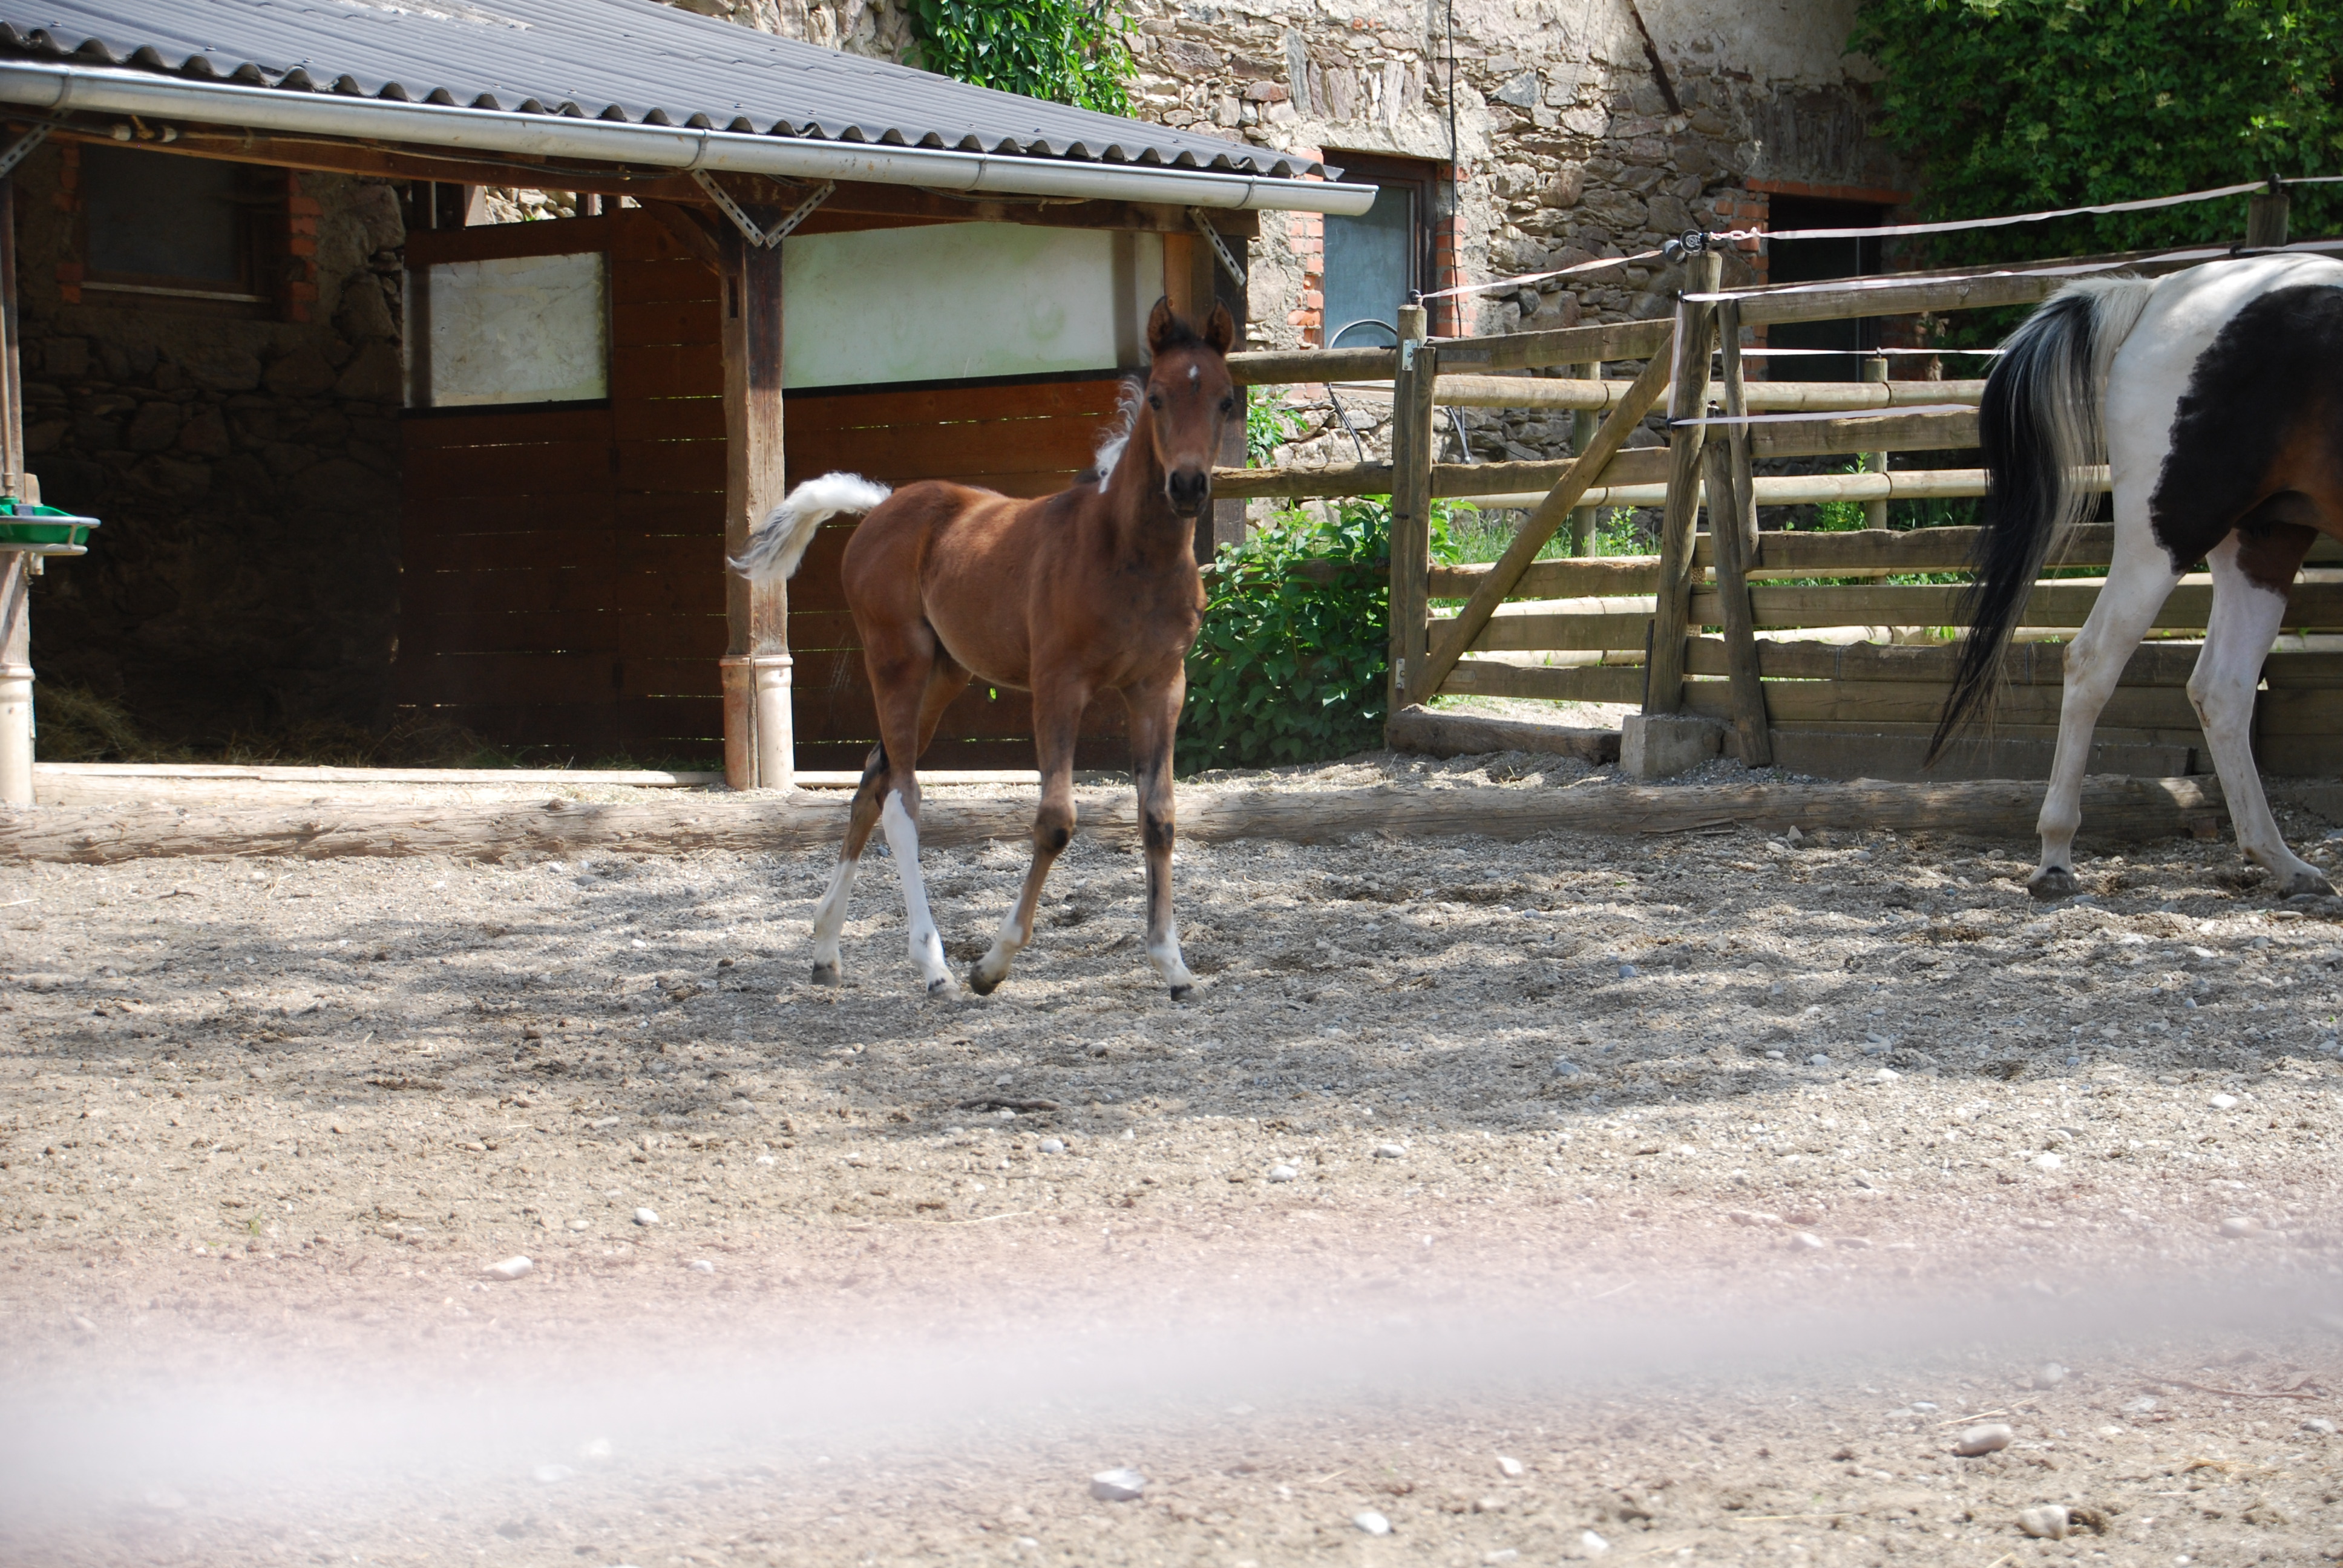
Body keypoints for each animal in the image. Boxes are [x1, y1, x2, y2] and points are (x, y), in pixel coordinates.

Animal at [731, 299, 1246, 998]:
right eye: (1159, 397)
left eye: (1226, 399)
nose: (1188, 486)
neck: (1127, 554)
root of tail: (883, 504)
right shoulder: (1059, 685)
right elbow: (1055, 819)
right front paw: (993, 963)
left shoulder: (1161, 685)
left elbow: (1159, 816)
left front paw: (1171, 962)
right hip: (896, 663)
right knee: (902, 800)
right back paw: (934, 965)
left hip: (945, 676)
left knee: (870, 781)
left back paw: (826, 949)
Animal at [1930, 252, 2343, 900]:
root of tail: (2157, 293)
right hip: (2170, 534)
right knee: (2093, 660)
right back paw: (2055, 857)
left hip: (2263, 540)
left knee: (2222, 688)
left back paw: (2285, 863)